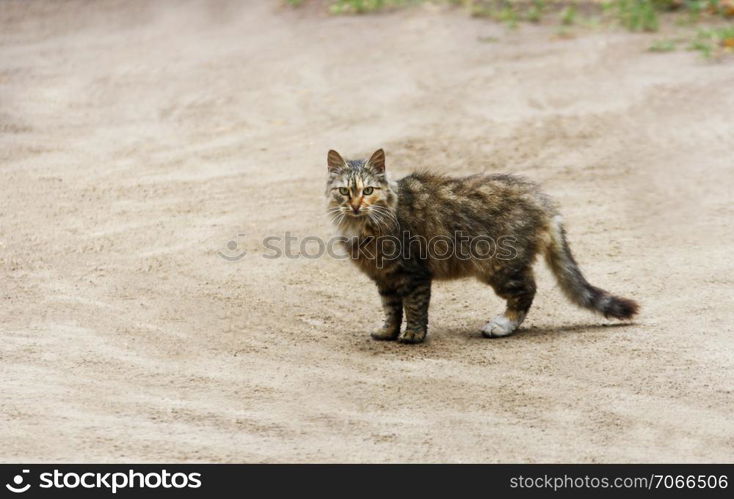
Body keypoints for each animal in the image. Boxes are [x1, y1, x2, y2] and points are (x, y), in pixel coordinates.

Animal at [324, 148, 640, 344]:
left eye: (368, 191)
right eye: (344, 191)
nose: (355, 205)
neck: (362, 226)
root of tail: (543, 202)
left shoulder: (414, 274)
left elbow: (414, 309)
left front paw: (413, 336)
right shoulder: (385, 279)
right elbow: (391, 309)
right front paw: (388, 332)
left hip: (499, 266)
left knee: (527, 291)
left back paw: (500, 326)